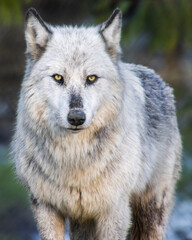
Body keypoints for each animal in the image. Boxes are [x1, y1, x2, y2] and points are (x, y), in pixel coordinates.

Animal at [11, 7, 182, 240]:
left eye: (91, 78)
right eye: (58, 78)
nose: (76, 117)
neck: (74, 159)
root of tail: (158, 78)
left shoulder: (113, 211)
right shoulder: (45, 207)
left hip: (150, 213)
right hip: (82, 223)